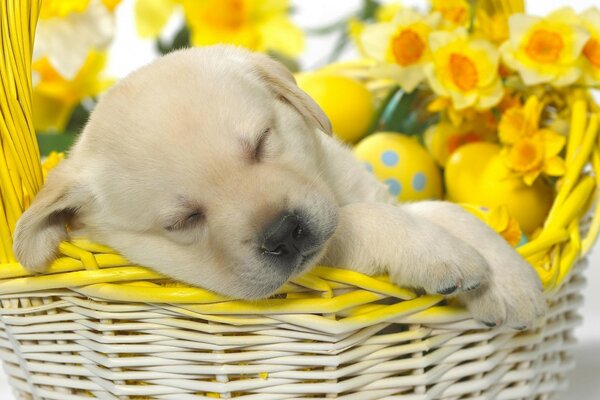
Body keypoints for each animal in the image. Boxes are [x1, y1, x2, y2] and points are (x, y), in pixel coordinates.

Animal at [12, 45, 544, 330]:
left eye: (262, 142)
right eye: (183, 221)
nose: (283, 233)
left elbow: (444, 210)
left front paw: (509, 281)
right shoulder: (329, 258)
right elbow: (364, 221)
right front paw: (440, 255)